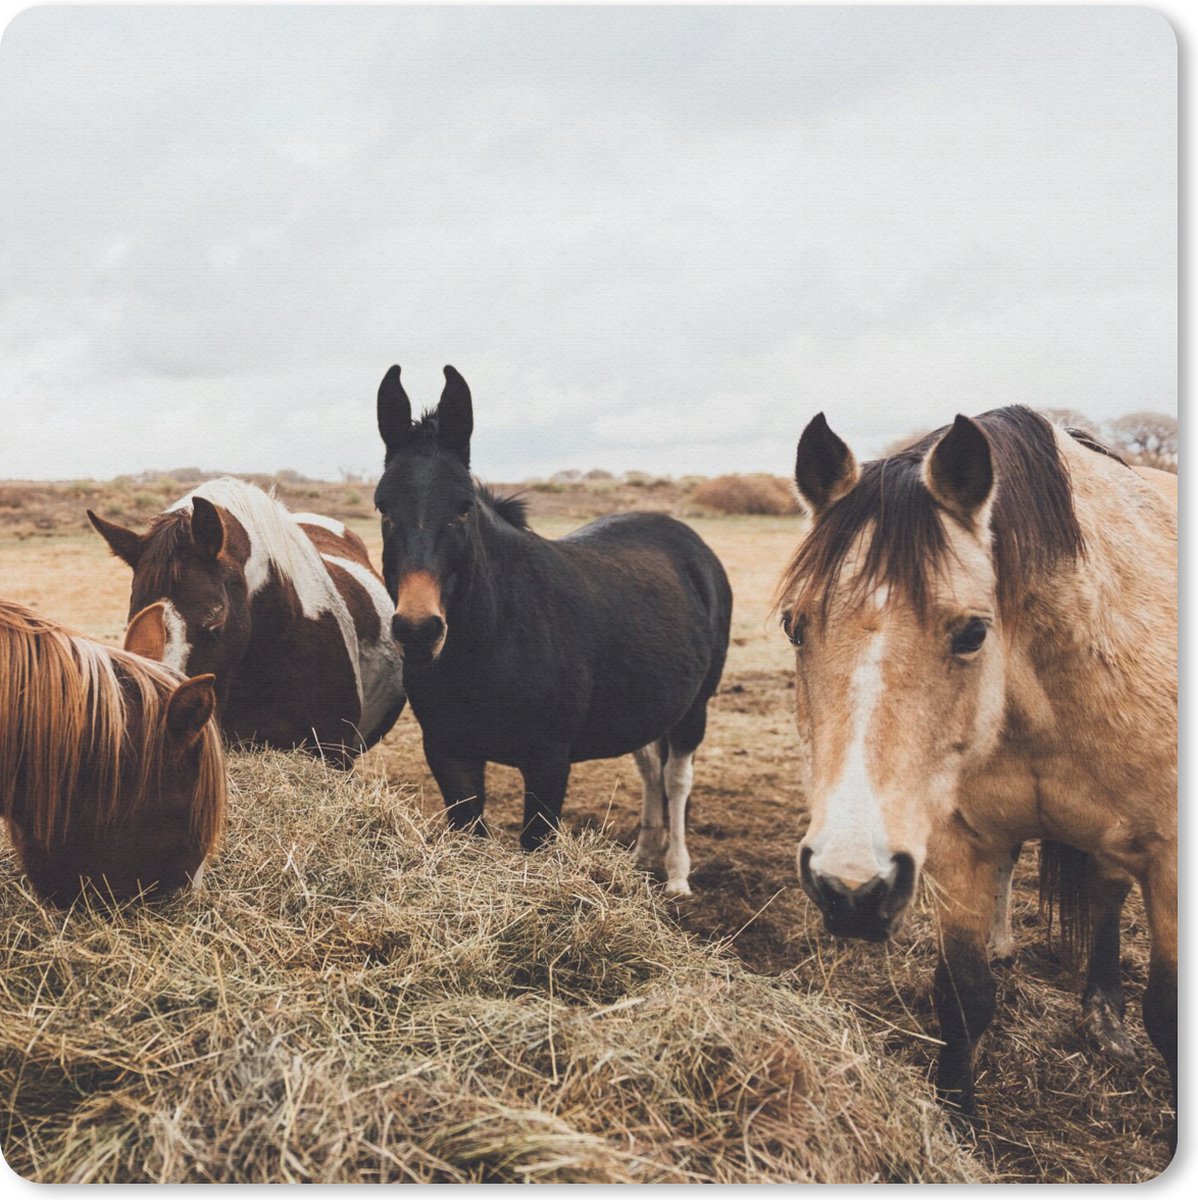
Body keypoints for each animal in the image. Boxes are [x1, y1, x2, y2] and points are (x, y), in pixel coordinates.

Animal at [373, 364, 732, 894]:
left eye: (463, 507)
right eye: (383, 508)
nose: (419, 631)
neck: (493, 643)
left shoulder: (548, 761)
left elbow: (536, 842)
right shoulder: (448, 753)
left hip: (695, 708)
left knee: (676, 779)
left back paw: (676, 876)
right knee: (650, 769)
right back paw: (643, 856)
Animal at [775, 406, 1176, 1130]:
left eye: (972, 632)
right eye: (795, 626)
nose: (850, 888)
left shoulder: (1171, 859)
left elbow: (1168, 1014)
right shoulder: (958, 843)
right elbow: (963, 996)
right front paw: (958, 1126)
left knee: (1106, 898)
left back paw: (1104, 1019)